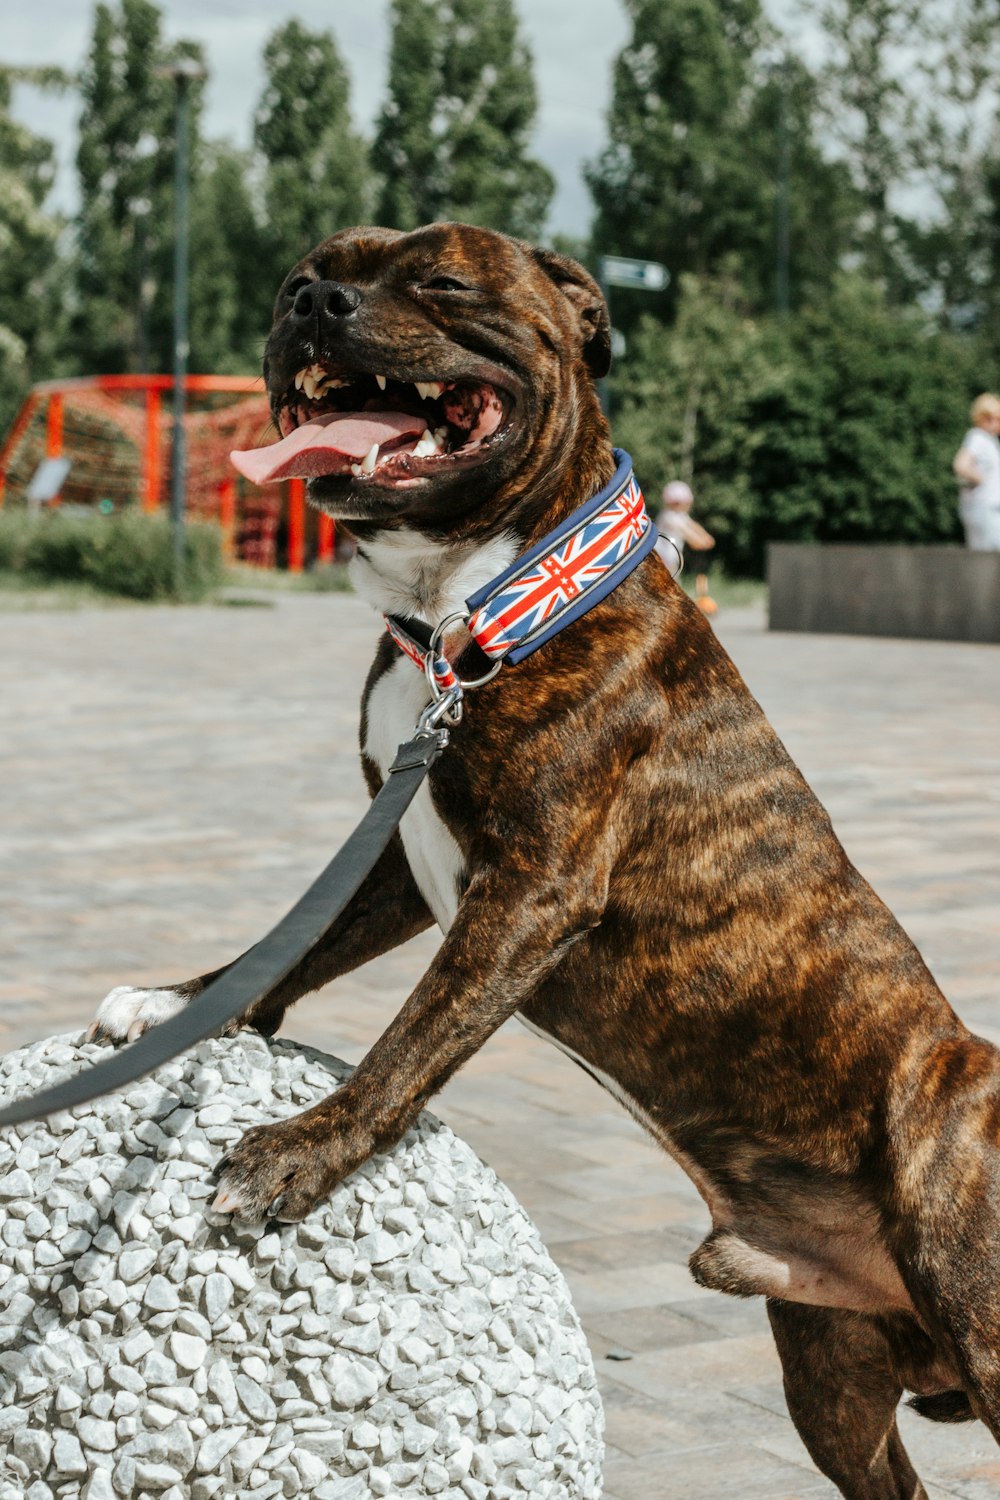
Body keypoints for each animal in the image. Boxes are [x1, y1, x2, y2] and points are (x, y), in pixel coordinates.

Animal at [91, 225, 1000, 1500]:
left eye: (442, 281)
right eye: (304, 274)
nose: (315, 303)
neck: (474, 606)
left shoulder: (530, 889)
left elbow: (410, 1042)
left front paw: (298, 1151)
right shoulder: (398, 856)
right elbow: (293, 946)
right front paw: (182, 1001)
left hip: (974, 1300)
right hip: (834, 1378)